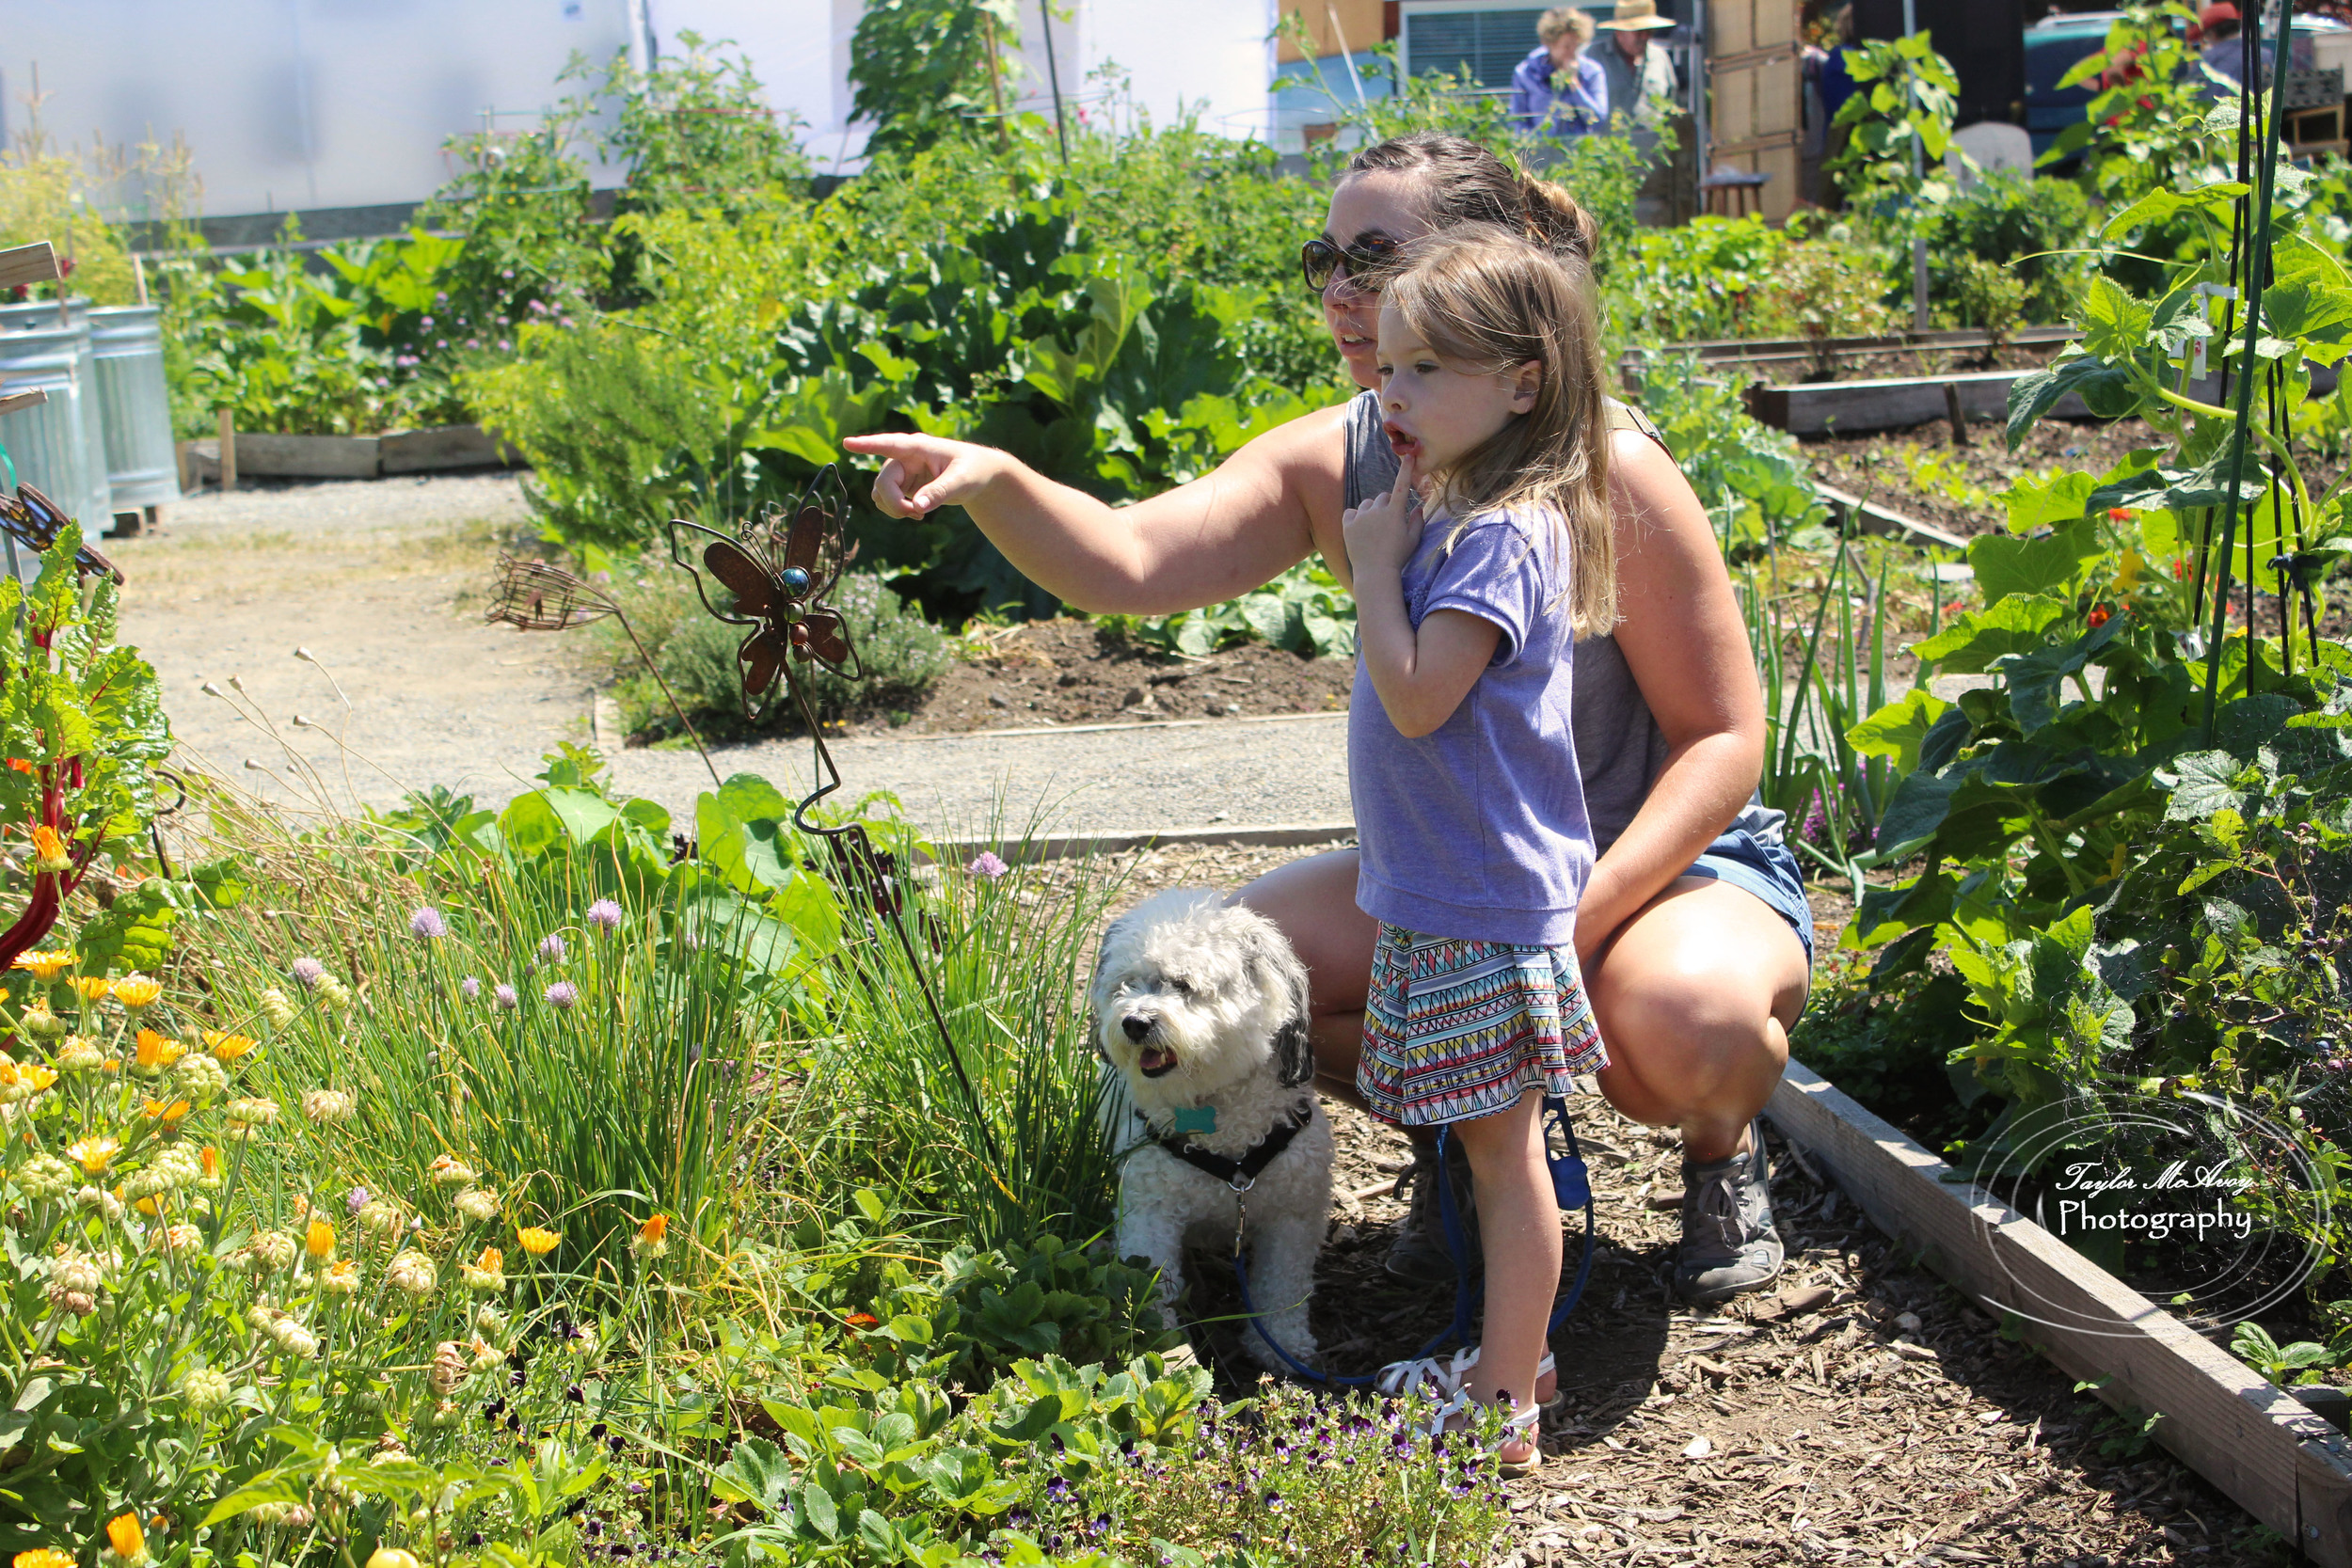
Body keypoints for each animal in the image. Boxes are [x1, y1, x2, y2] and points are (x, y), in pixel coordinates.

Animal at [1091, 893, 1336, 1372]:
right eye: (1127, 984)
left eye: (1184, 985)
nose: (1134, 1022)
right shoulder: (1151, 1212)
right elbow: (1153, 1283)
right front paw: (1163, 1351)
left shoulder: (1293, 1216)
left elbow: (1283, 1286)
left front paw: (1280, 1343)